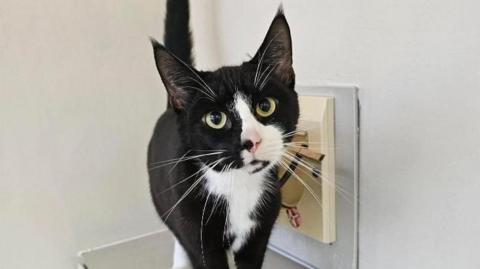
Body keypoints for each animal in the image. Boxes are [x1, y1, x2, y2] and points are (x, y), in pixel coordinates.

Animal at [148, 1, 298, 266]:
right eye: (215, 119)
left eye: (265, 105)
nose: (253, 141)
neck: (237, 186)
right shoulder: (196, 231)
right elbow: (196, 249)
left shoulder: (259, 232)